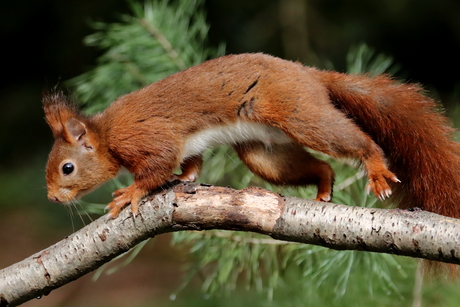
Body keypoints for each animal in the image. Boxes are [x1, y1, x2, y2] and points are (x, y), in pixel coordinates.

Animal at [44, 52, 460, 219]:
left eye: (67, 168)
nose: (51, 198)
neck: (106, 134)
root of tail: (308, 74)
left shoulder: (148, 138)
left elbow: (157, 168)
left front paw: (130, 192)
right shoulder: (188, 145)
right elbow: (190, 163)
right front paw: (184, 178)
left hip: (300, 114)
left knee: (354, 141)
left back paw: (374, 166)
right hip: (264, 153)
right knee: (319, 166)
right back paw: (324, 188)